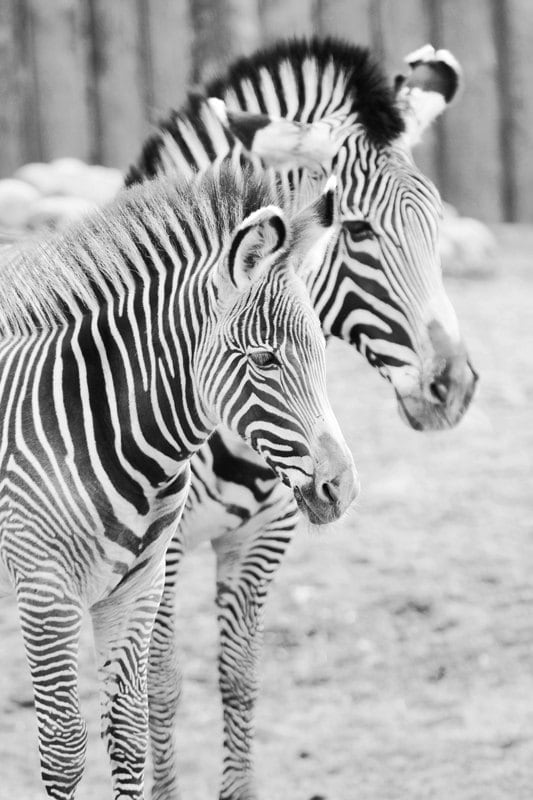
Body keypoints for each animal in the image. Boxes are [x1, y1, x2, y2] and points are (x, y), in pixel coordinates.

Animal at [0, 164, 360, 800]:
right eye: (264, 360)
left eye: (321, 348)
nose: (341, 487)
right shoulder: (46, 592)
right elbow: (63, 750)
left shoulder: (135, 589)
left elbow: (128, 734)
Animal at [130, 39, 478, 800]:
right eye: (358, 229)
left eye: (438, 222)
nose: (454, 387)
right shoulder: (157, 551)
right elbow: (158, 689)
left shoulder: (264, 537)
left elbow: (239, 680)